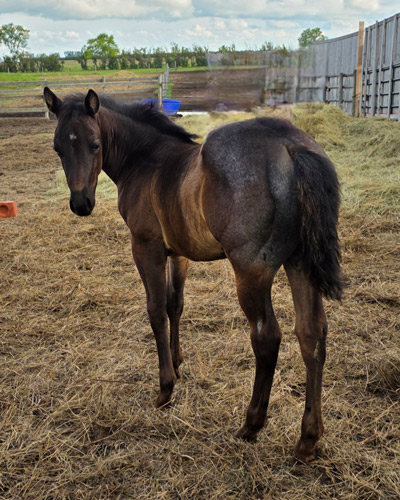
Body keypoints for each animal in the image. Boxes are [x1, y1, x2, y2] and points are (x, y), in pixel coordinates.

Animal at [44, 87, 342, 462]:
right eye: (58, 147)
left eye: (95, 144)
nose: (81, 203)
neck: (145, 161)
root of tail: (290, 144)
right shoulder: (179, 252)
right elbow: (176, 304)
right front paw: (177, 362)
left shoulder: (146, 247)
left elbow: (156, 311)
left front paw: (165, 388)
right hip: (299, 262)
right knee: (311, 333)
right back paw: (307, 439)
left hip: (251, 271)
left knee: (267, 337)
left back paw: (251, 425)